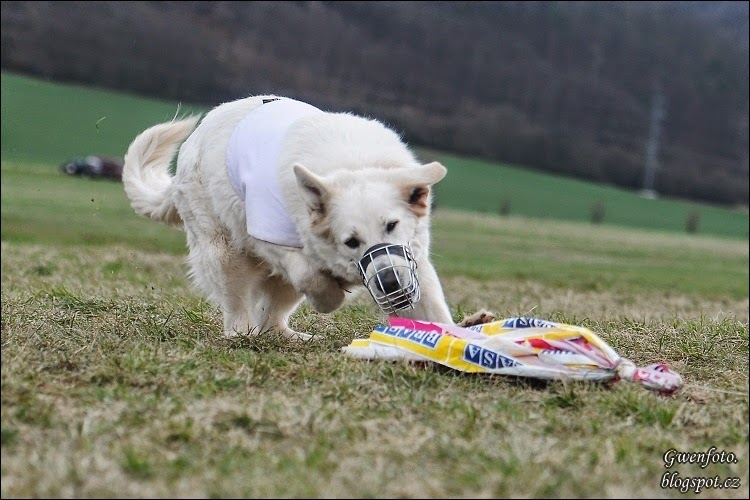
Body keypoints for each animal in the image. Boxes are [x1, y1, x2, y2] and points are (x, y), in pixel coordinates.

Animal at [123, 95, 492, 340]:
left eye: (391, 225)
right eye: (351, 241)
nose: (389, 283)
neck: (352, 165)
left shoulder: (412, 263)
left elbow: (432, 310)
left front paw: (462, 331)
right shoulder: (267, 235)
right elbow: (311, 276)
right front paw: (333, 295)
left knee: (271, 321)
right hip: (226, 254)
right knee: (239, 312)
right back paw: (243, 334)